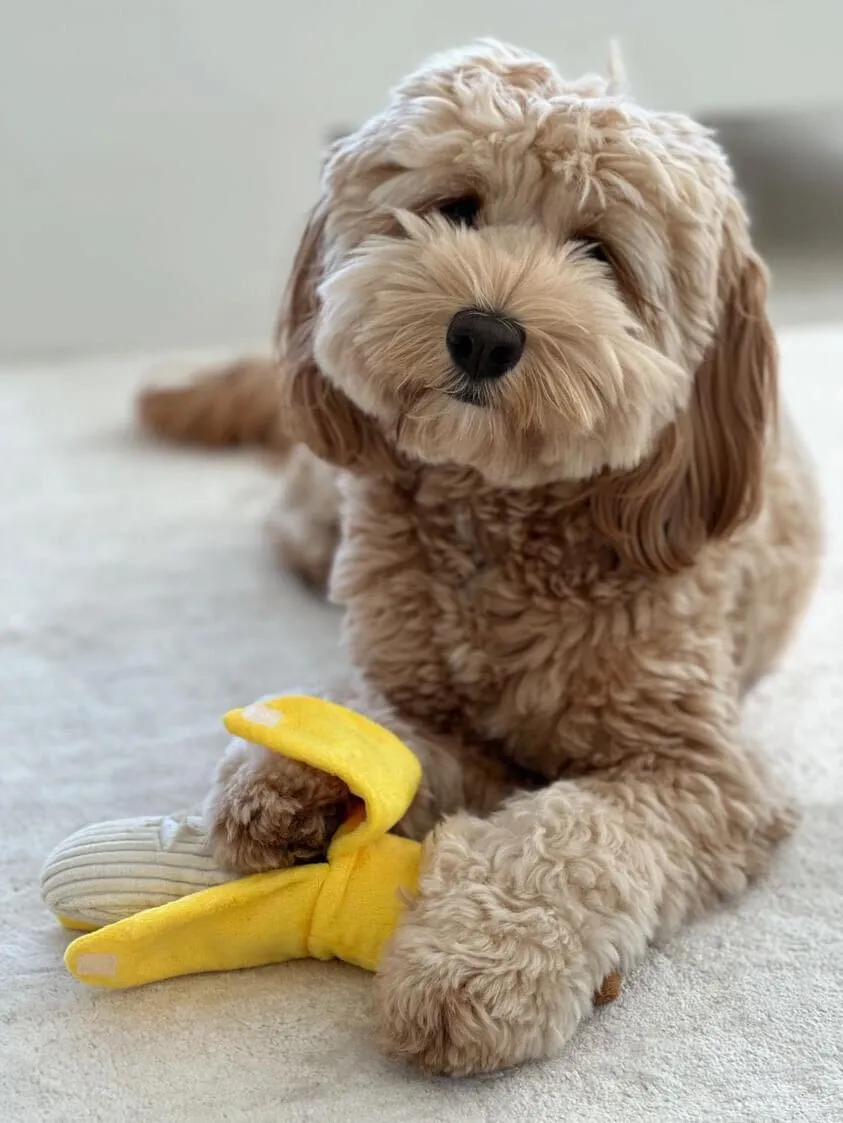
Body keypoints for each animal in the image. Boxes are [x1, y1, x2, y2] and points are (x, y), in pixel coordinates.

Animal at [141, 43, 821, 1073]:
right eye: (457, 206)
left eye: (599, 252)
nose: (484, 332)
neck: (503, 523)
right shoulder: (426, 695)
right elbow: (383, 726)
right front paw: (289, 773)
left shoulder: (699, 771)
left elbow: (575, 834)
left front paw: (475, 964)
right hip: (322, 503)